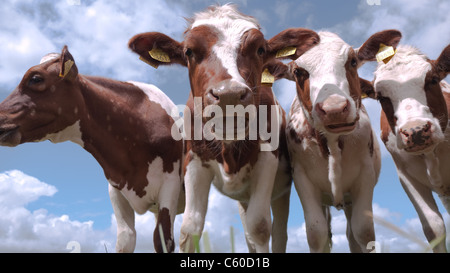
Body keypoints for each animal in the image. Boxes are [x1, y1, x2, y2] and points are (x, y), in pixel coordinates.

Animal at [268, 31, 384, 251]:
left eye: (352, 61)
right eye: (298, 72)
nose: (334, 109)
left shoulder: (365, 176)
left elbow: (364, 231)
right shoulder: (302, 178)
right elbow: (316, 233)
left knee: (351, 233)